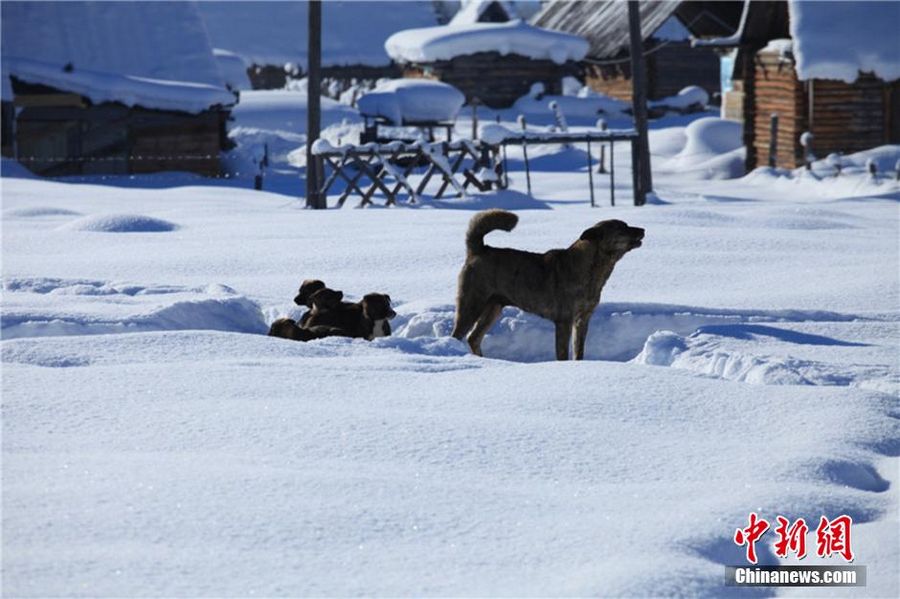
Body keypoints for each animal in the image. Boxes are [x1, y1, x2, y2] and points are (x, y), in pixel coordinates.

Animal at [454, 210, 644, 360]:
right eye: (621, 227)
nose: (643, 229)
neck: (591, 269)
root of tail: (478, 249)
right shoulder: (564, 321)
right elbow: (562, 354)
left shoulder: (583, 319)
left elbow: (579, 351)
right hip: (472, 304)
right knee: (459, 335)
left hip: (493, 307)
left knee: (473, 338)